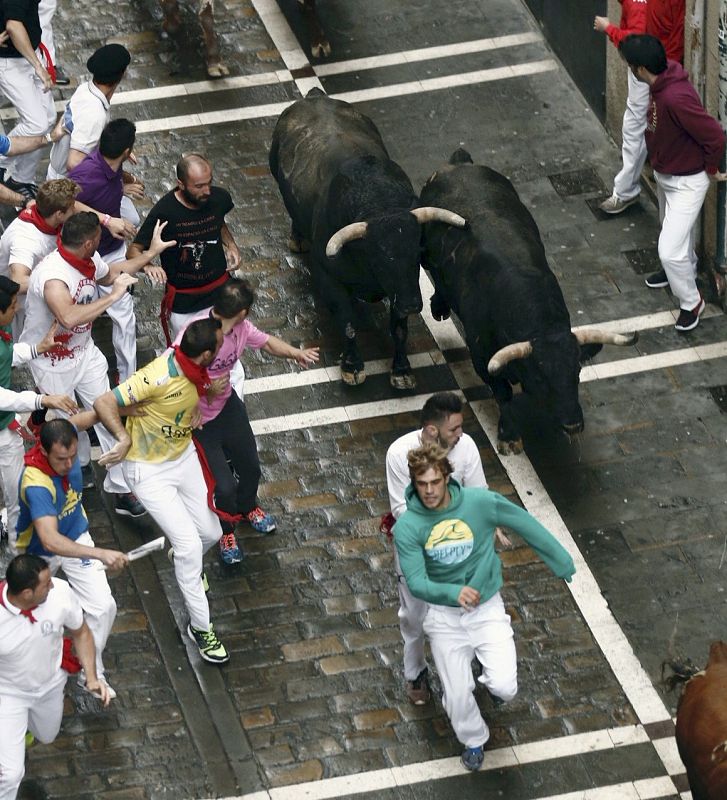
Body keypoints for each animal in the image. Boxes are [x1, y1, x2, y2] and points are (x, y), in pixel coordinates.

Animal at [270, 90, 464, 390]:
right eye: (381, 258)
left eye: (417, 255)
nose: (412, 304)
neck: (378, 201)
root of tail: (314, 96)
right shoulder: (330, 278)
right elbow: (348, 324)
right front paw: (352, 366)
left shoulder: (400, 288)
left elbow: (399, 328)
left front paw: (401, 370)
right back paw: (297, 238)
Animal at [420, 148, 636, 454]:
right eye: (541, 377)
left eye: (577, 371)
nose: (573, 425)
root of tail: (459, 163)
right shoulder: (482, 358)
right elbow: (504, 395)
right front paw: (509, 435)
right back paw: (439, 306)